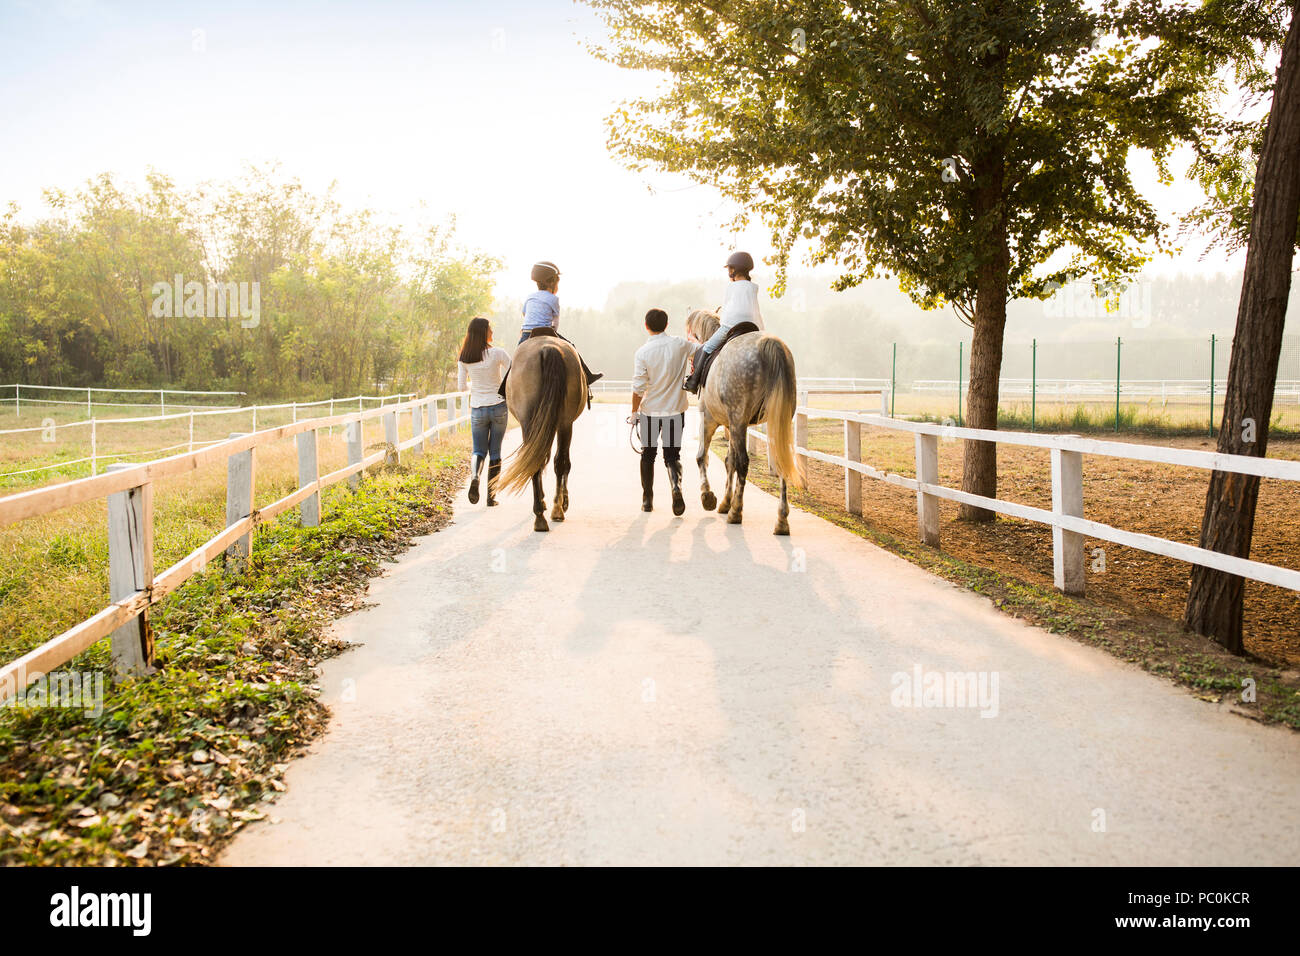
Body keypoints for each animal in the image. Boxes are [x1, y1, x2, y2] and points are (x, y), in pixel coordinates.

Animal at [493, 335, 587, 530]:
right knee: (558, 462)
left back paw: (542, 515)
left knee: (539, 461)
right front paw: (562, 502)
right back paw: (555, 510)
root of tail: (547, 348)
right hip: (564, 423)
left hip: (534, 423)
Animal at [681, 312, 800, 538]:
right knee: (780, 461)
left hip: (738, 419)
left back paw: (736, 512)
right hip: (776, 422)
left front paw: (709, 497)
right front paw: (725, 502)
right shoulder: (733, 425)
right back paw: (781, 521)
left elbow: (703, 457)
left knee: (744, 462)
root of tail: (771, 344)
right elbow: (730, 461)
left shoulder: (710, 420)